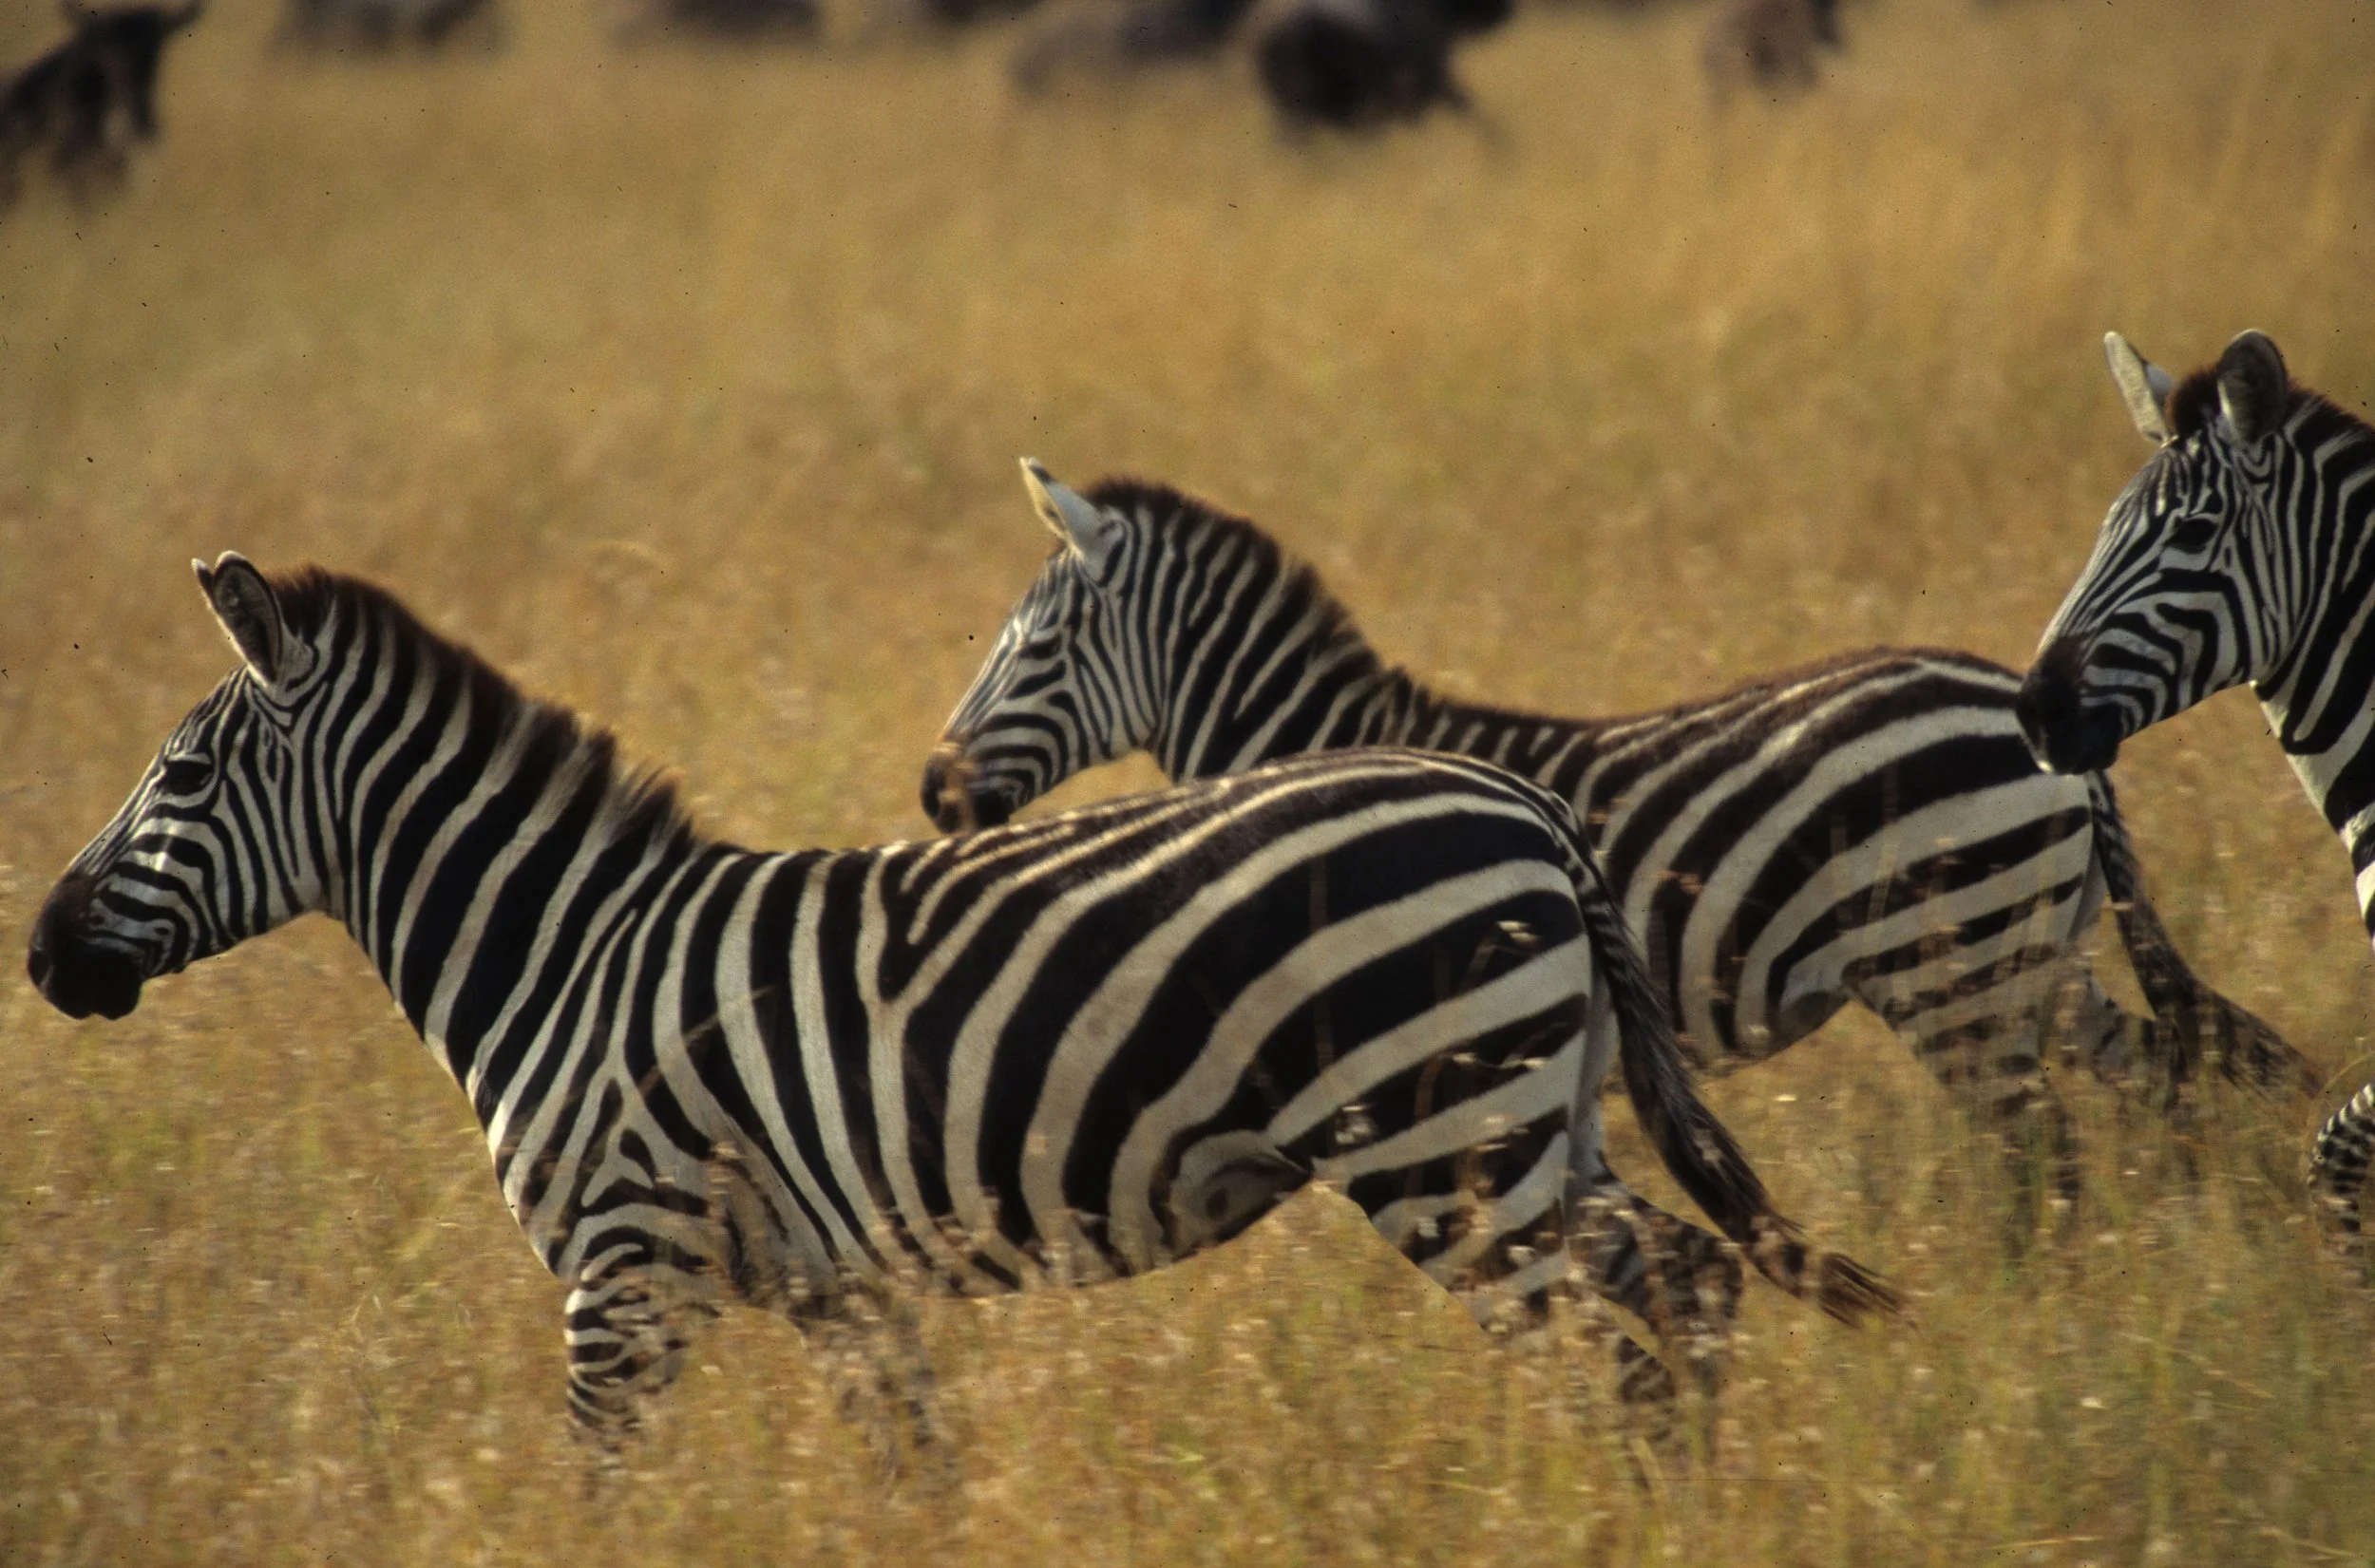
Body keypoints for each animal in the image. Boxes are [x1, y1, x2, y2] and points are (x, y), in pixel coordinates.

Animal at [27, 555, 1897, 1456]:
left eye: (178, 775)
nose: (40, 956)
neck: (563, 956)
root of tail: (1527, 806)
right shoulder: (834, 1286)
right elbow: (907, 1470)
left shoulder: (627, 1268)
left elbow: (595, 1482)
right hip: (1534, 1115)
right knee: (1687, 1293)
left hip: (1446, 1140)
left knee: (1632, 1326)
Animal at [921, 461, 2314, 1219]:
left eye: (1035, 646)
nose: (934, 791)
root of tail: (2029, 711)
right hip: (2037, 960)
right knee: (2171, 1081)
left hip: (1955, 974)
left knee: (2049, 1155)